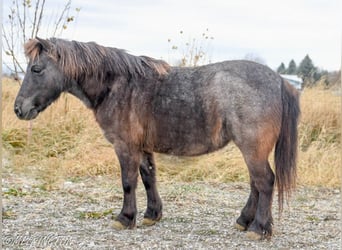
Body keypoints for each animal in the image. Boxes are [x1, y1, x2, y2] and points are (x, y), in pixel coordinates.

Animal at [14, 37, 300, 240]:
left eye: (36, 69)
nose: (19, 109)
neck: (117, 86)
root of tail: (280, 81)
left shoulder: (125, 147)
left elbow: (128, 182)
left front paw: (125, 217)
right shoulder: (142, 148)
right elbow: (148, 177)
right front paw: (152, 214)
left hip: (252, 148)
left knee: (265, 182)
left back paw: (259, 228)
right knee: (256, 184)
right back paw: (245, 222)